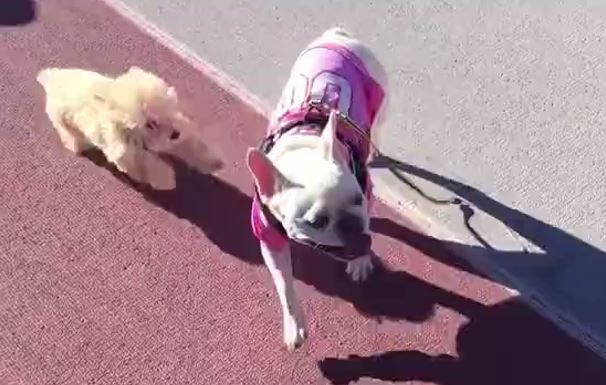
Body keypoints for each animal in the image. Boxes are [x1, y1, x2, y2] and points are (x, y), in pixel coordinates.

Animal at [36, 66, 221, 189]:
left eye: (169, 109)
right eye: (151, 123)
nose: (176, 133)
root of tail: (52, 78)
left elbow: (189, 146)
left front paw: (214, 162)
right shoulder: (126, 152)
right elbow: (147, 163)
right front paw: (167, 179)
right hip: (62, 119)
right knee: (69, 134)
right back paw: (75, 145)